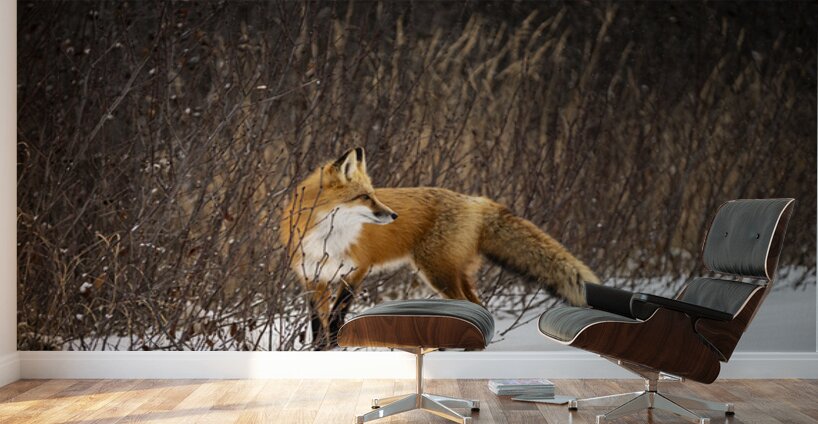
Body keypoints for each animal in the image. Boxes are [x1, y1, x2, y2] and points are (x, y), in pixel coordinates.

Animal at [280, 147, 599, 348]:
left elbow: (337, 317)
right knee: (480, 308)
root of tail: (475, 201)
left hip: (437, 274)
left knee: (469, 309)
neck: (327, 238)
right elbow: (317, 322)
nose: (393, 215)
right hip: (454, 274)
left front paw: (333, 349)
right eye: (364, 197)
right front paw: (318, 351)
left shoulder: (356, 272)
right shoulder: (312, 278)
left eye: (373, 194)